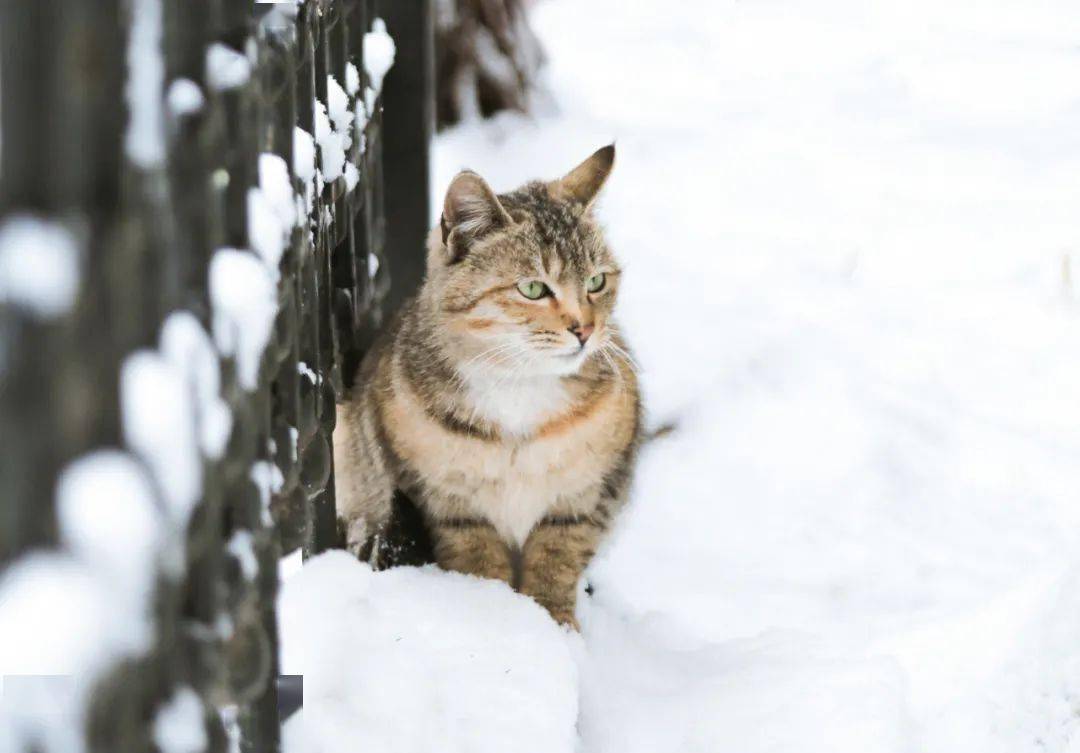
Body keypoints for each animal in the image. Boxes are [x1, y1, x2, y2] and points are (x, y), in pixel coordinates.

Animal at [334, 143, 639, 626]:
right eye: (533, 288)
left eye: (596, 281)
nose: (586, 330)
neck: (518, 384)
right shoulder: (449, 503)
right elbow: (478, 562)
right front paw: (498, 620)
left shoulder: (583, 498)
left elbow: (556, 561)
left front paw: (554, 626)